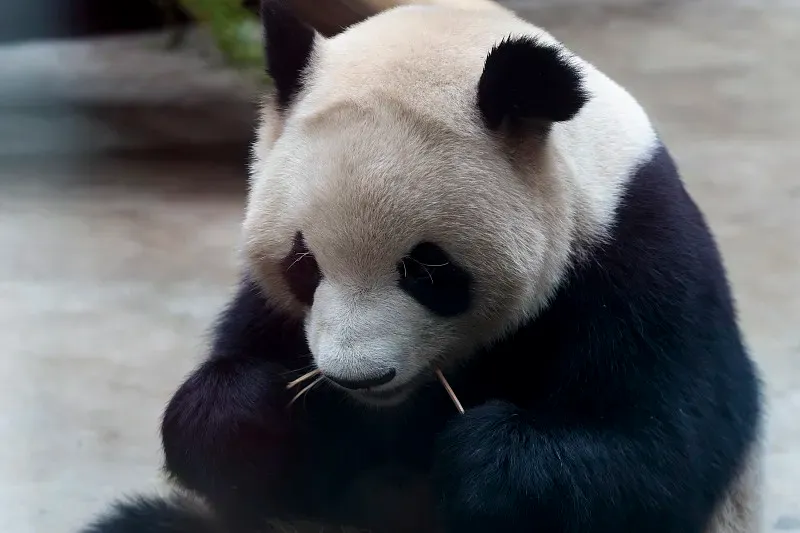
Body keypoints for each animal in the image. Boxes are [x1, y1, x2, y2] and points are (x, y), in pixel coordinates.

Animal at [81, 1, 765, 532]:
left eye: (429, 271)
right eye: (305, 263)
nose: (358, 377)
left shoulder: (635, 257)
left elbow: (653, 452)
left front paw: (485, 460)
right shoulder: (271, 312)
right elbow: (225, 433)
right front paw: (259, 415)